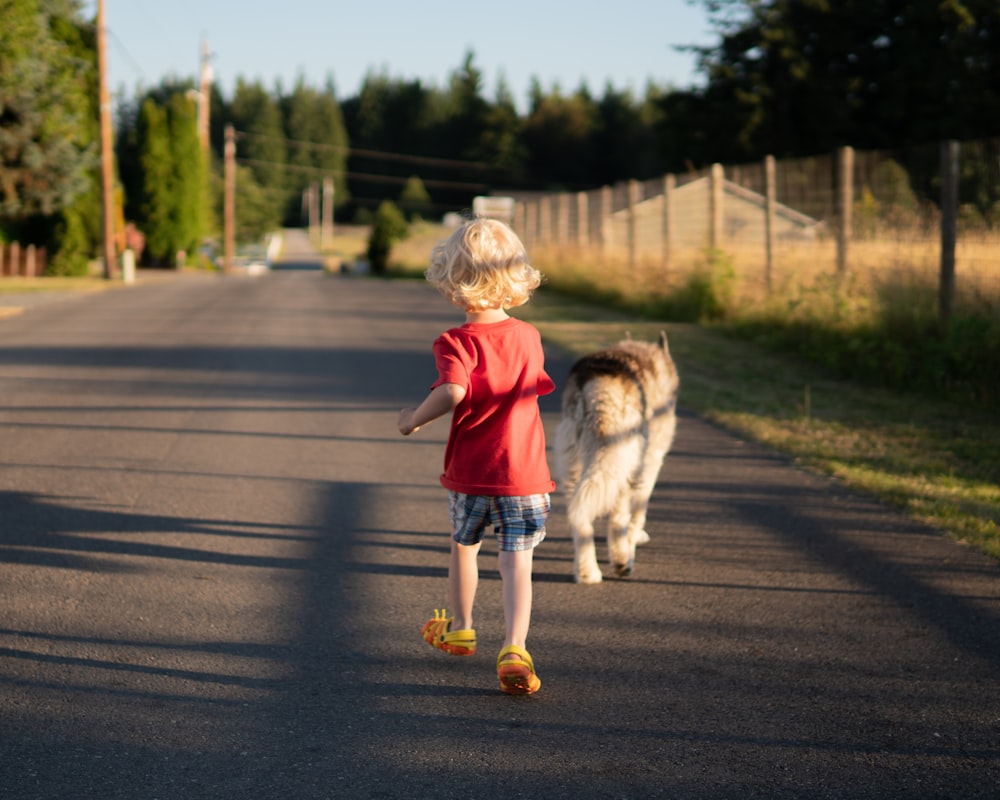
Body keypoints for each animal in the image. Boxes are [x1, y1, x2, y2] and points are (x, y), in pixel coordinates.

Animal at [556, 328, 680, 584]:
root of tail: (597, 383)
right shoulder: (651, 462)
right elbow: (639, 511)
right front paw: (635, 538)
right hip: (624, 463)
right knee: (618, 519)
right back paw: (623, 561)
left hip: (575, 464)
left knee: (579, 517)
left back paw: (587, 572)